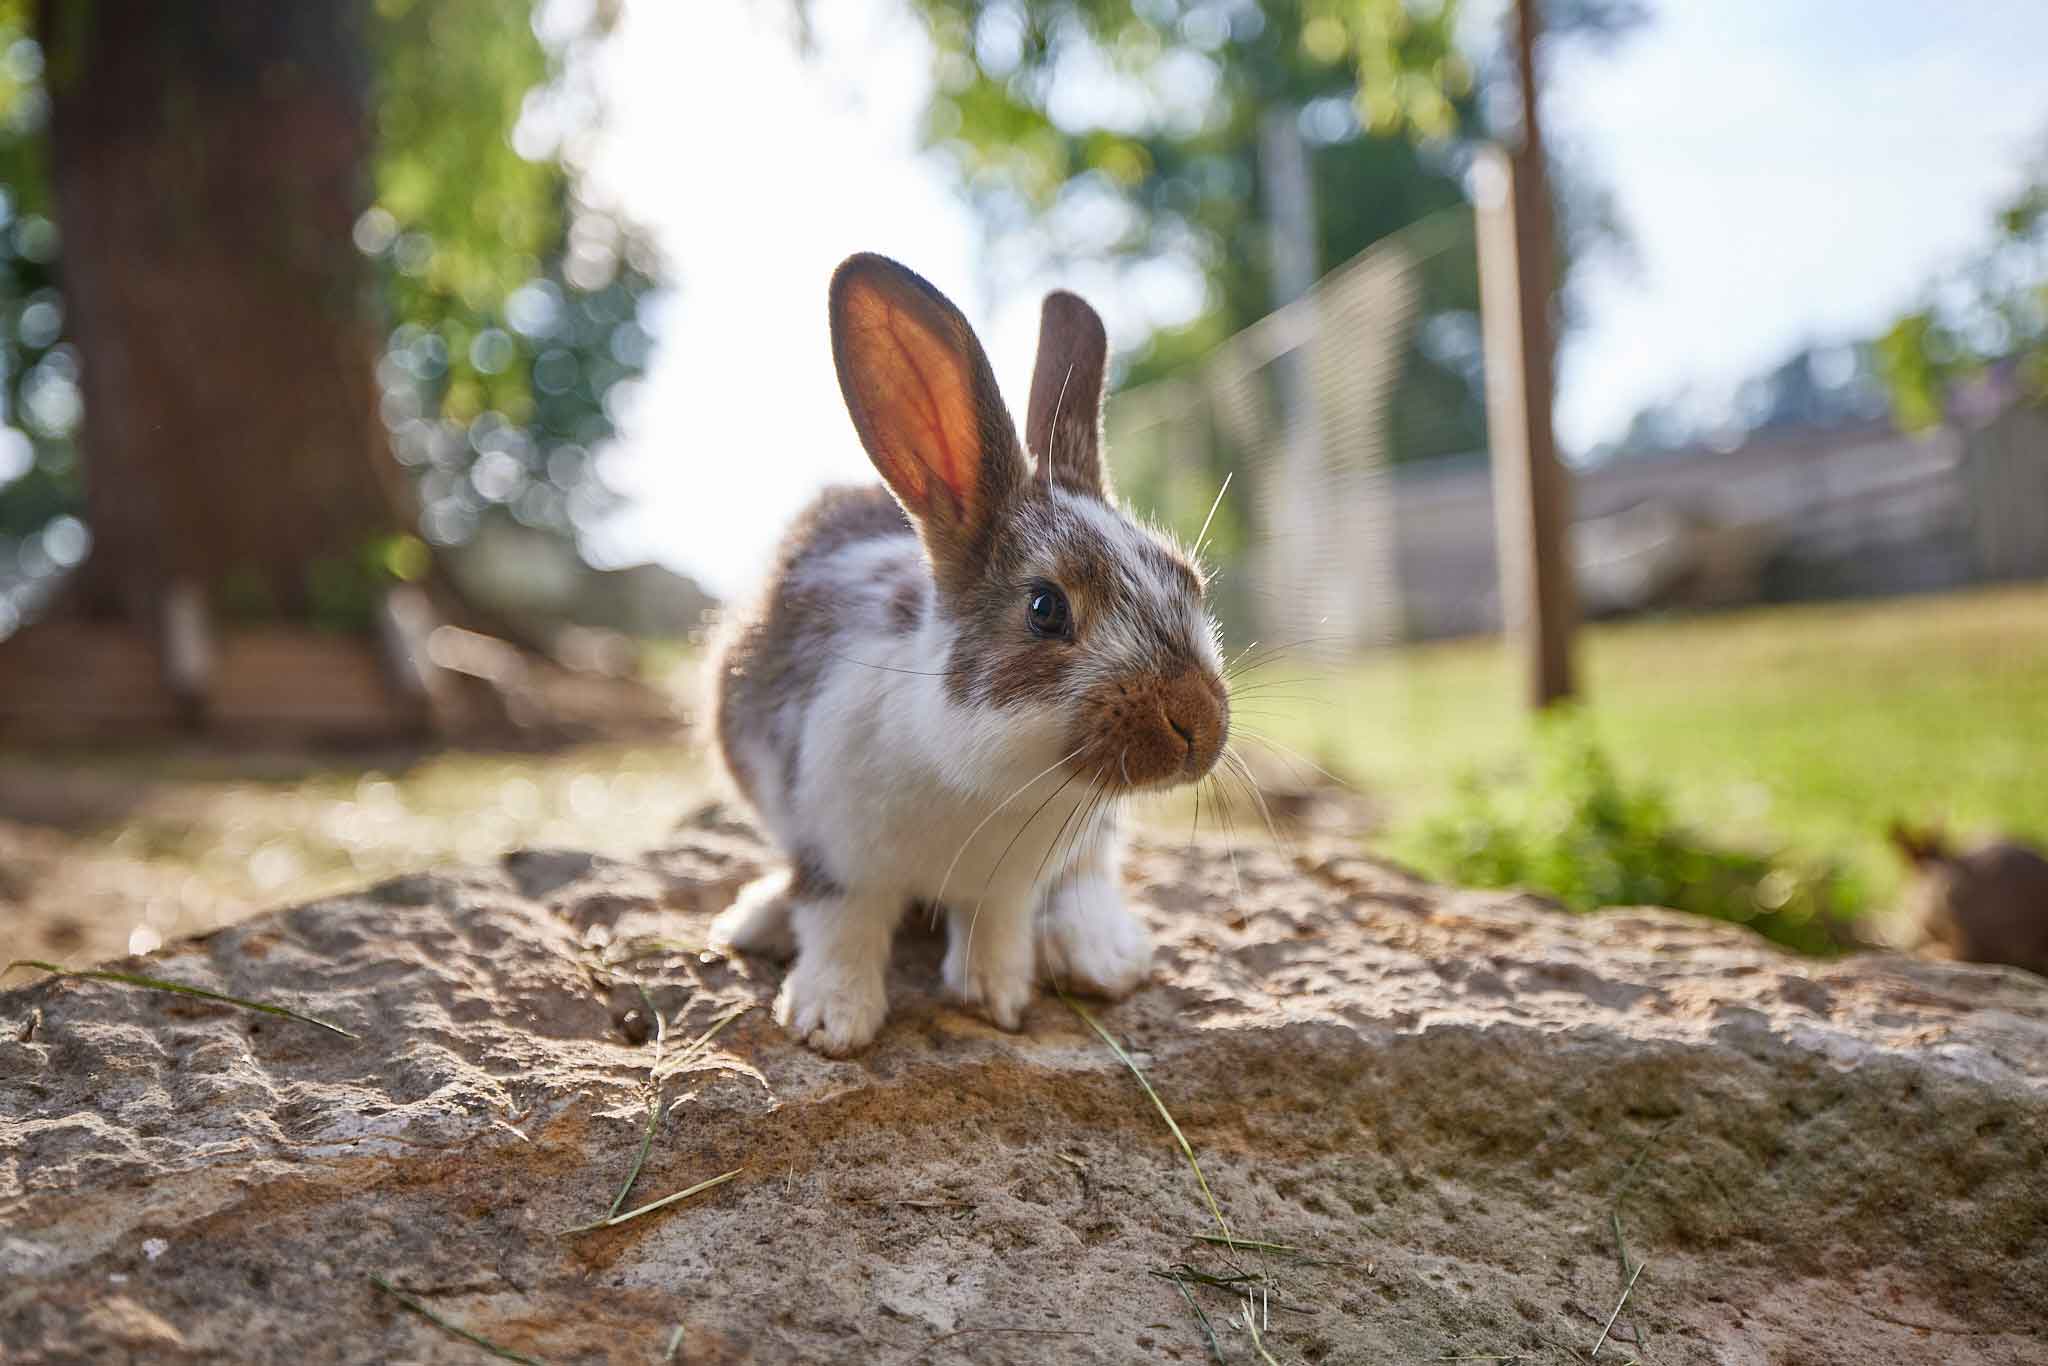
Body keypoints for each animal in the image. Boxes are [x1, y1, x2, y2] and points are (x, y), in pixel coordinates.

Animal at [705, 253, 1229, 1056]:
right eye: (1045, 608)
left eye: (1188, 580)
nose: (1200, 725)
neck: (991, 781)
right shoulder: (834, 853)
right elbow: (840, 927)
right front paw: (831, 1021)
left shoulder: (1008, 884)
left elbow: (996, 927)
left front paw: (996, 1001)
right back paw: (754, 918)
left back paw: (1099, 953)